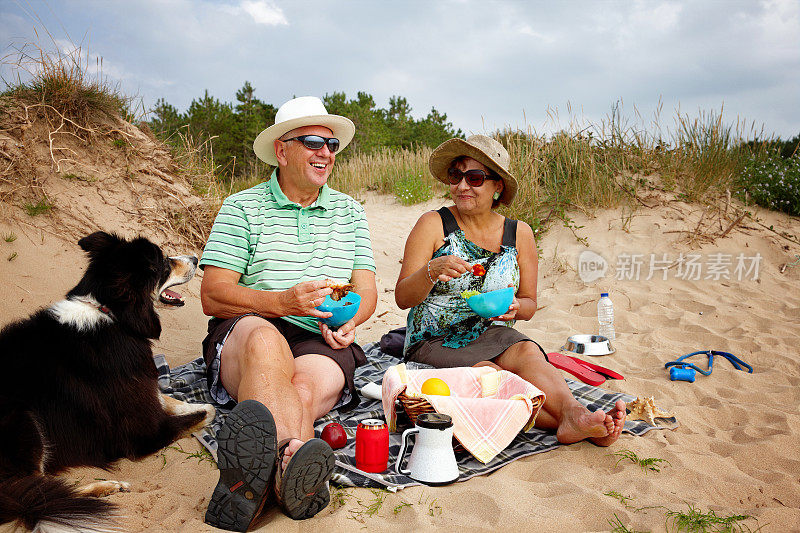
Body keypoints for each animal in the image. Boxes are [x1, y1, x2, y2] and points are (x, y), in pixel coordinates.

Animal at [0, 231, 216, 528]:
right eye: (163, 262)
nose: (196, 258)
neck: (111, 313)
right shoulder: (141, 434)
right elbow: (206, 411)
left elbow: (169, 399)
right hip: (25, 422)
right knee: (34, 495)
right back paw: (102, 490)